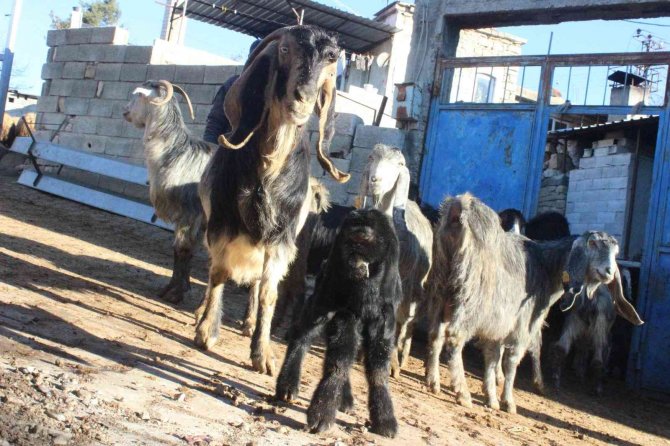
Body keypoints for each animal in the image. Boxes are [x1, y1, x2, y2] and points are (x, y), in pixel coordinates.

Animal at [122, 80, 214, 304]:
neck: (177, 153)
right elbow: (181, 252)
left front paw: (175, 293)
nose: (125, 111)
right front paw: (174, 288)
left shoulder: (191, 213)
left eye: (138, 94)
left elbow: (182, 249)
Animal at [192, 25, 350, 376]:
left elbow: (268, 292)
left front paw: (263, 354)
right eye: (286, 50)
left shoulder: (281, 237)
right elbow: (218, 273)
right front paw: (207, 331)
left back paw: (250, 322)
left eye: (331, 57)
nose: (303, 98)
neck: (269, 168)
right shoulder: (221, 222)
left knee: (256, 284)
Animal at [276, 210, 402, 440]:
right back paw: (287, 386)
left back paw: (345, 399)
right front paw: (321, 415)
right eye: (348, 240)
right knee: (303, 334)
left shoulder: (384, 318)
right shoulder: (344, 312)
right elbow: (339, 360)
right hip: (322, 299)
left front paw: (385, 420)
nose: (353, 259)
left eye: (363, 240)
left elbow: (378, 368)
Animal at [356, 145, 436, 378]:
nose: (375, 179)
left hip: (417, 290)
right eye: (371, 157)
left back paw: (402, 356)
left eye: (399, 164)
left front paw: (390, 363)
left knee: (407, 321)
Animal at [426, 195, 644, 414]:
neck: (545, 267)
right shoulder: (522, 322)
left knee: (436, 334)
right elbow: (512, 360)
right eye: (592, 243)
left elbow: (492, 357)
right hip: (470, 303)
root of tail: (459, 211)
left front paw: (491, 397)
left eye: (615, 251)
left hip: (440, 292)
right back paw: (462, 392)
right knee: (455, 338)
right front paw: (508, 402)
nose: (608, 272)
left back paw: (433, 381)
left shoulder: (500, 325)